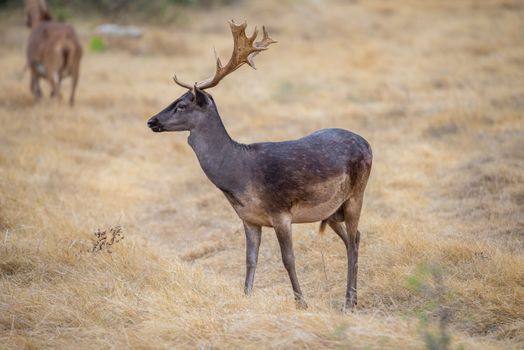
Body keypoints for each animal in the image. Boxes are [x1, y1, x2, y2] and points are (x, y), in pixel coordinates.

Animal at [145, 21, 370, 312]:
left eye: (181, 104)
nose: (151, 121)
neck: (240, 175)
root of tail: (367, 143)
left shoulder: (281, 211)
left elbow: (288, 259)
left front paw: (301, 303)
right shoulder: (248, 219)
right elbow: (250, 259)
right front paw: (246, 298)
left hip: (357, 194)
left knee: (353, 240)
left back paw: (349, 303)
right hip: (332, 211)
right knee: (354, 238)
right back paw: (352, 298)